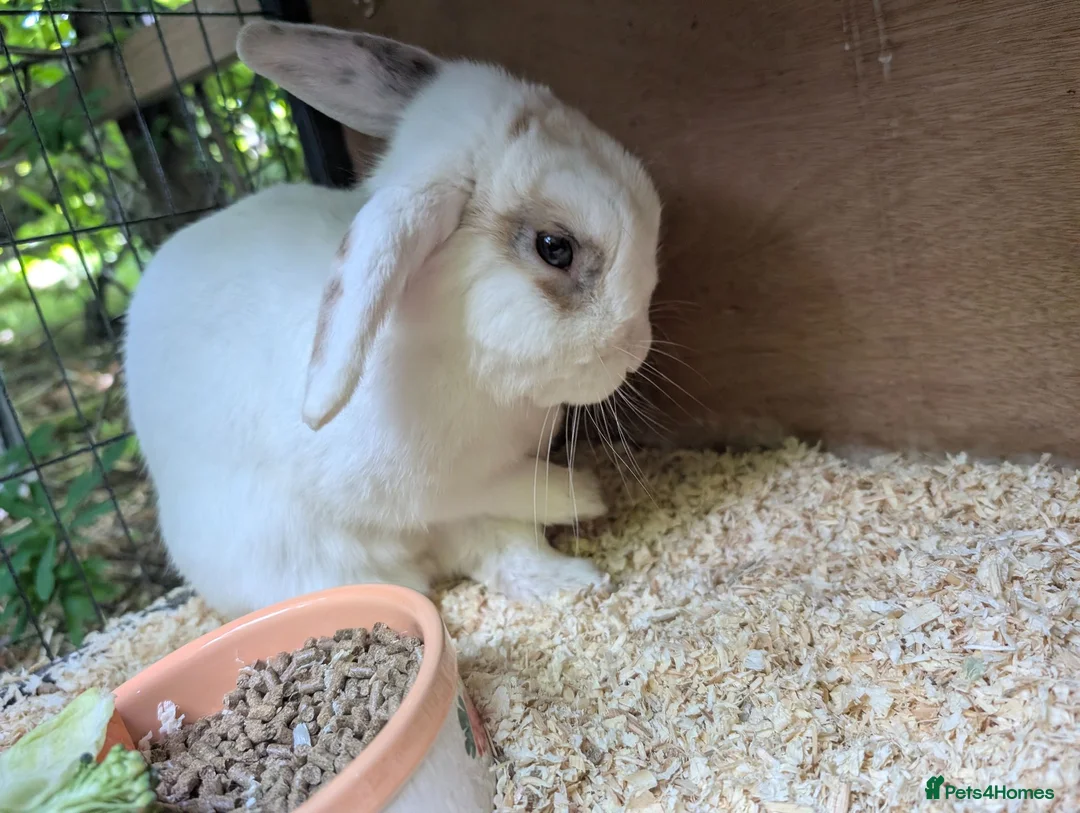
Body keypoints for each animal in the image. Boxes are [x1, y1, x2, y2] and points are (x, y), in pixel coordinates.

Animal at [122, 20, 661, 619]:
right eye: (555, 248)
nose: (637, 348)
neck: (463, 361)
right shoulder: (436, 488)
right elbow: (501, 490)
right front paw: (584, 495)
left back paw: (573, 579)